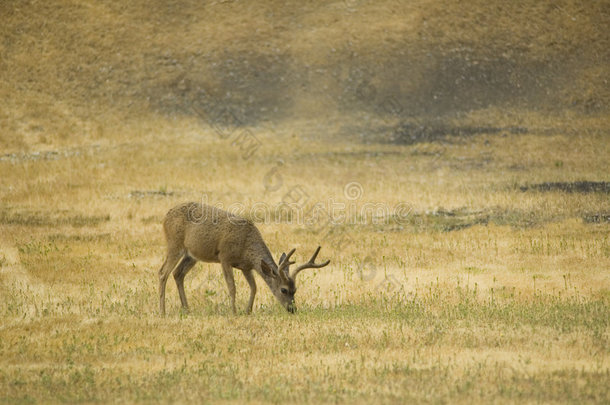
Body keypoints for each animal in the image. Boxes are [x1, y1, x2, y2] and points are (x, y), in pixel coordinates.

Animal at [157, 202, 328, 316]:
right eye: (283, 290)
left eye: (295, 290)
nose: (292, 309)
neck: (246, 245)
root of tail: (166, 216)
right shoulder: (224, 257)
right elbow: (232, 287)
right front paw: (234, 312)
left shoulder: (246, 266)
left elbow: (254, 287)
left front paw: (248, 311)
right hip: (174, 244)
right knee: (162, 272)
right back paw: (162, 311)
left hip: (192, 255)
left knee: (178, 274)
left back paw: (186, 309)